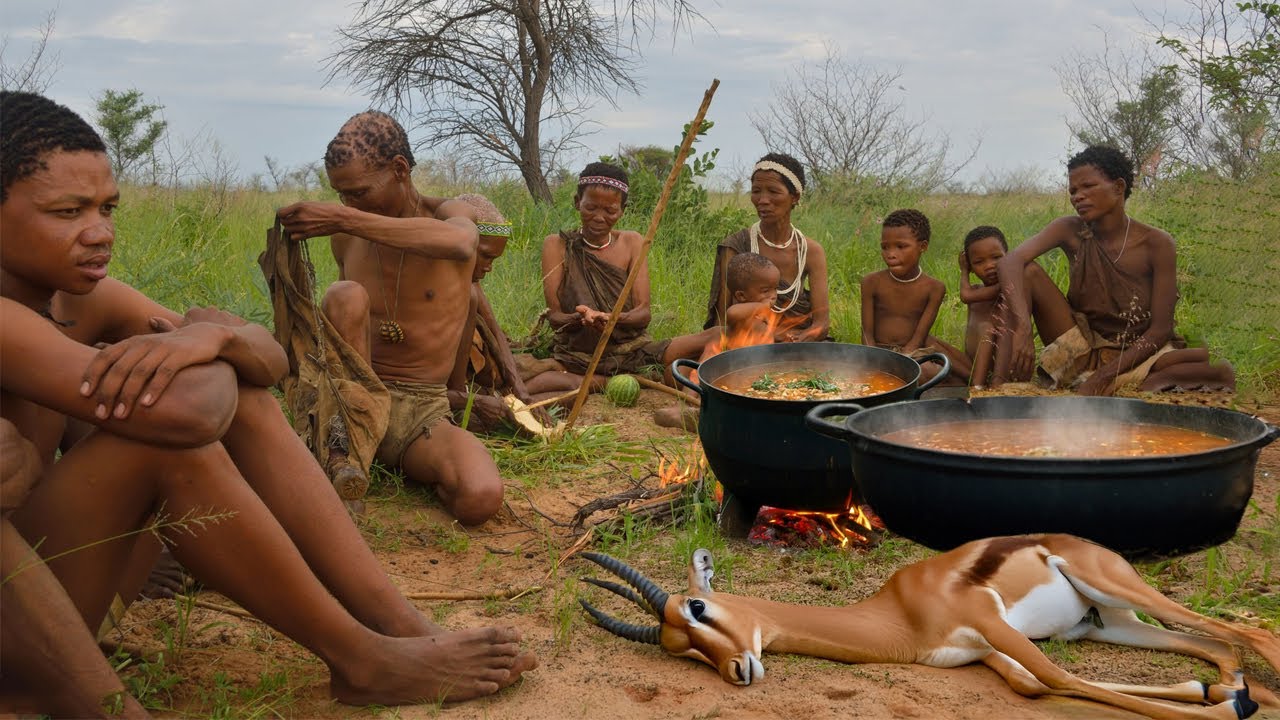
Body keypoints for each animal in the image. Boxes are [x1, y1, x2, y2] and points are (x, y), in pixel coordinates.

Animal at [579, 534, 1280, 720]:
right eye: (681, 652)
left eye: (697, 610)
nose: (736, 671)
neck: (900, 616)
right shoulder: (980, 654)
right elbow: (1034, 685)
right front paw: (1220, 698)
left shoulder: (989, 624)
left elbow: (1057, 679)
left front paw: (1229, 710)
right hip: (1104, 626)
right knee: (1210, 646)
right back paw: (1233, 685)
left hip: (1116, 591)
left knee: (1250, 634)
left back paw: (1244, 691)